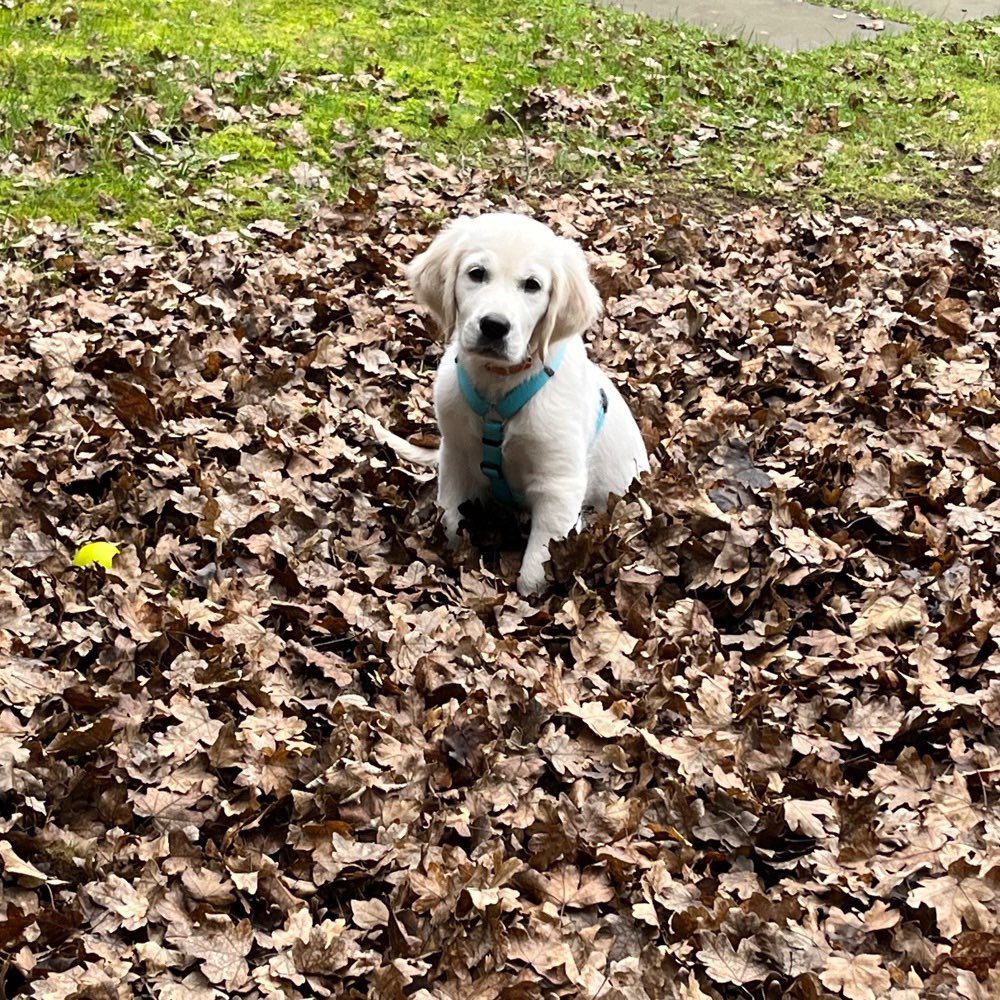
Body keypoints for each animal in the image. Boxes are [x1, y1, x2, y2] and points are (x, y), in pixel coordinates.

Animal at [376, 209, 648, 584]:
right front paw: (454, 554)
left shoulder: (559, 484)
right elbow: (450, 518)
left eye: (532, 285)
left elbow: (537, 565)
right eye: (477, 273)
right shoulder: (456, 455)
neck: (498, 385)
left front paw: (528, 592)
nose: (494, 326)